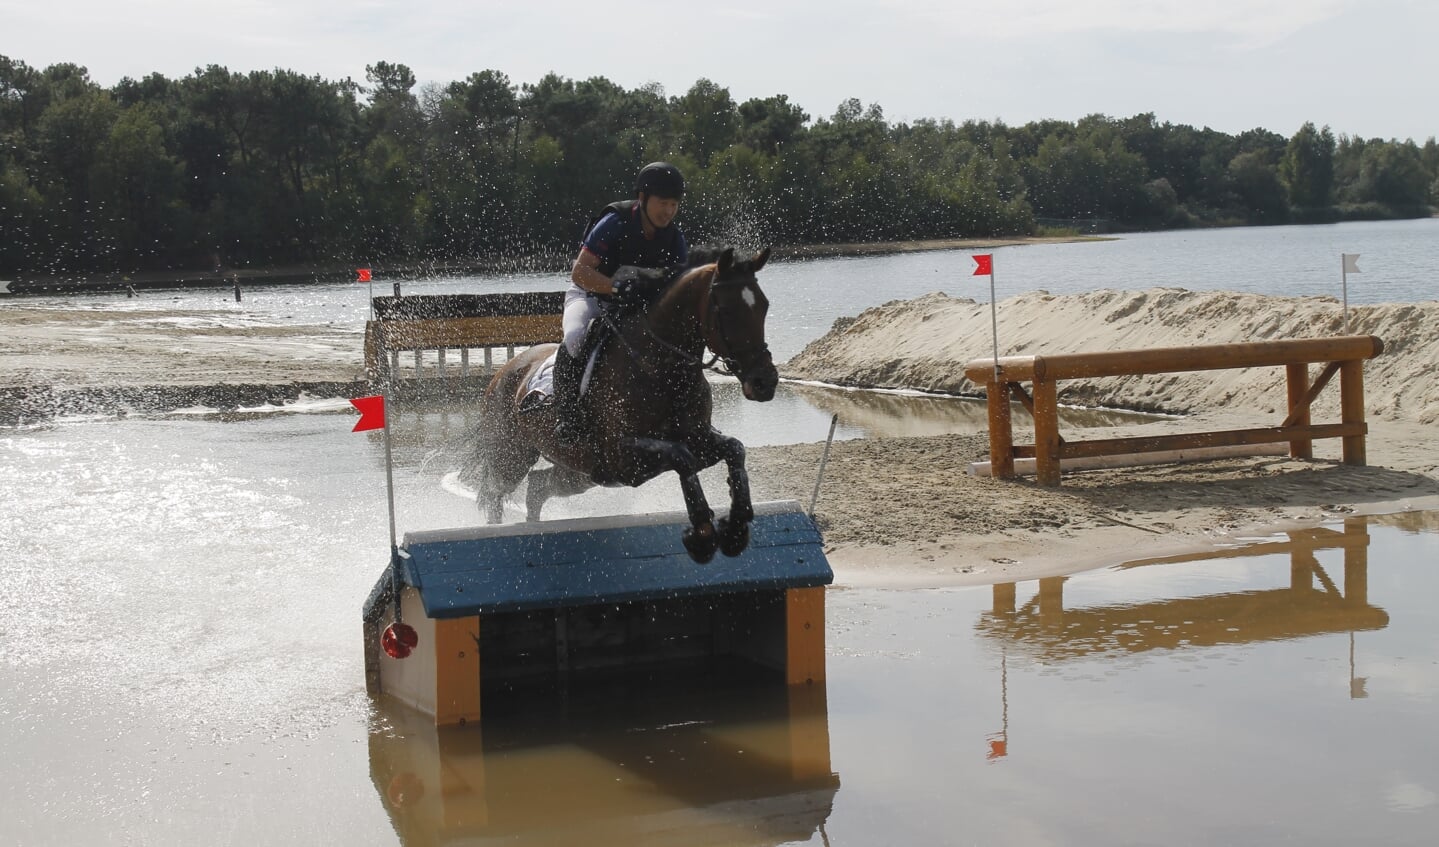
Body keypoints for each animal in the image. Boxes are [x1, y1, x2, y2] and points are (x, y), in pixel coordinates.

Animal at [471, 244, 777, 560]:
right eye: (726, 311)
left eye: (764, 306)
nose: (765, 382)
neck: (662, 369)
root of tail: (504, 371)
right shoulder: (622, 456)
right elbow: (682, 457)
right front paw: (702, 535)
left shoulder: (697, 438)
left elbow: (734, 449)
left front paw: (736, 529)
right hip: (512, 458)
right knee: (496, 493)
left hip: (581, 474)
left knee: (538, 486)